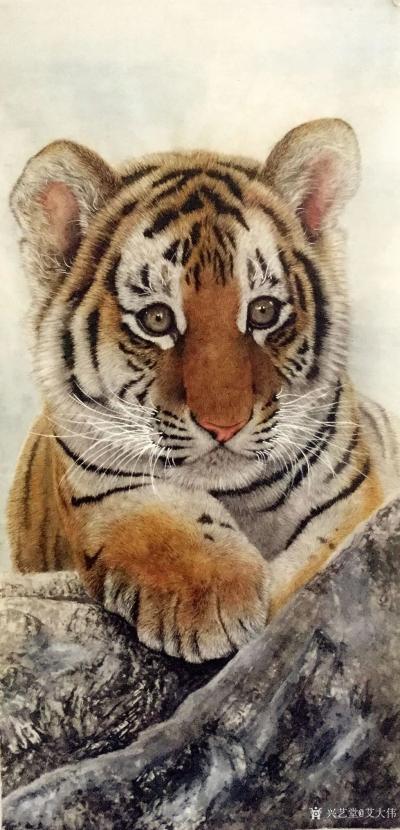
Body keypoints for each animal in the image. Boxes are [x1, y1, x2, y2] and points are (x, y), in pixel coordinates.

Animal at [7, 118, 400, 663]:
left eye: (263, 311)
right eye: (156, 319)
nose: (224, 424)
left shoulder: (351, 494)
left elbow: (316, 566)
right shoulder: (105, 484)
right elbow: (166, 527)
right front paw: (214, 601)